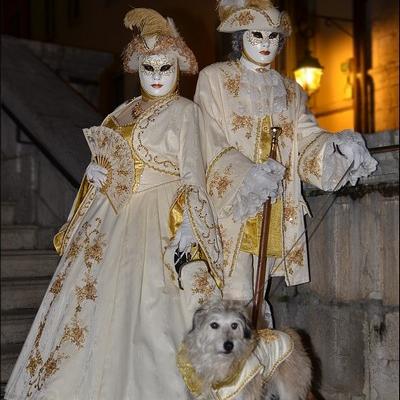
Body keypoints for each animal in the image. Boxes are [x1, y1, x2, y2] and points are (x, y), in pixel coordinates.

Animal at [180, 302, 314, 398]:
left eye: (234, 325)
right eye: (214, 325)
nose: (229, 345)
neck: (222, 360)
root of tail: (291, 335)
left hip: (288, 387)